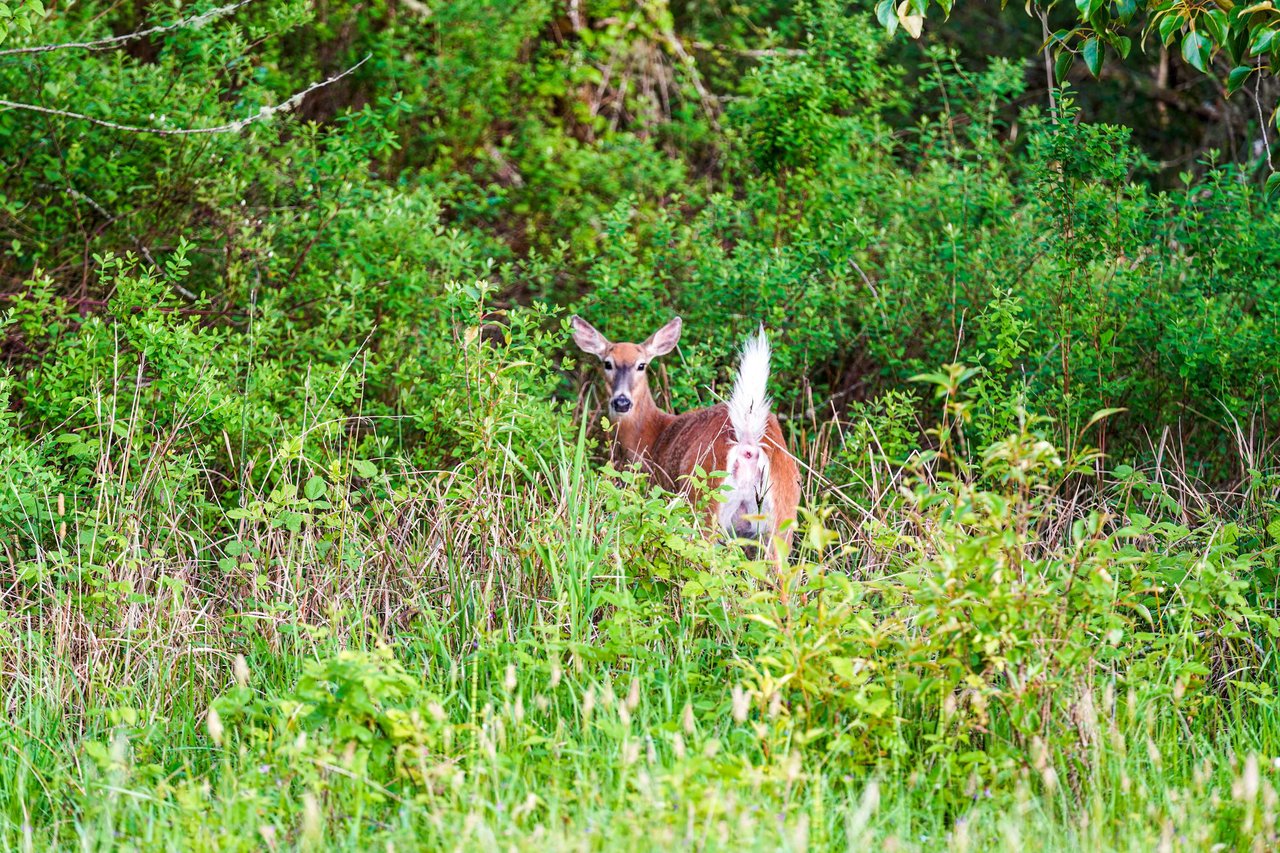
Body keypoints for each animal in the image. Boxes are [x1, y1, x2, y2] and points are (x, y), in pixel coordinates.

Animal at [573, 312, 798, 550]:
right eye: (607, 363)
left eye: (641, 365)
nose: (622, 402)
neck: (652, 434)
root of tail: (748, 446)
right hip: (782, 517)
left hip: (703, 501)